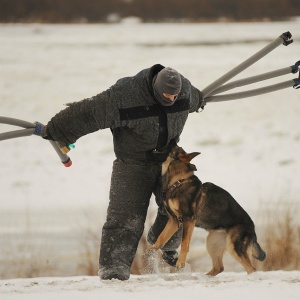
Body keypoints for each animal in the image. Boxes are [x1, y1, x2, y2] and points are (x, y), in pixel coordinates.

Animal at [146, 145, 266, 274]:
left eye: (170, 146)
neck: (178, 182)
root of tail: (253, 229)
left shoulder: (188, 219)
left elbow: (184, 243)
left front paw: (181, 263)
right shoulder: (174, 221)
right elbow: (161, 238)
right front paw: (151, 250)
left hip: (233, 246)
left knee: (251, 269)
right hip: (212, 242)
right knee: (219, 268)